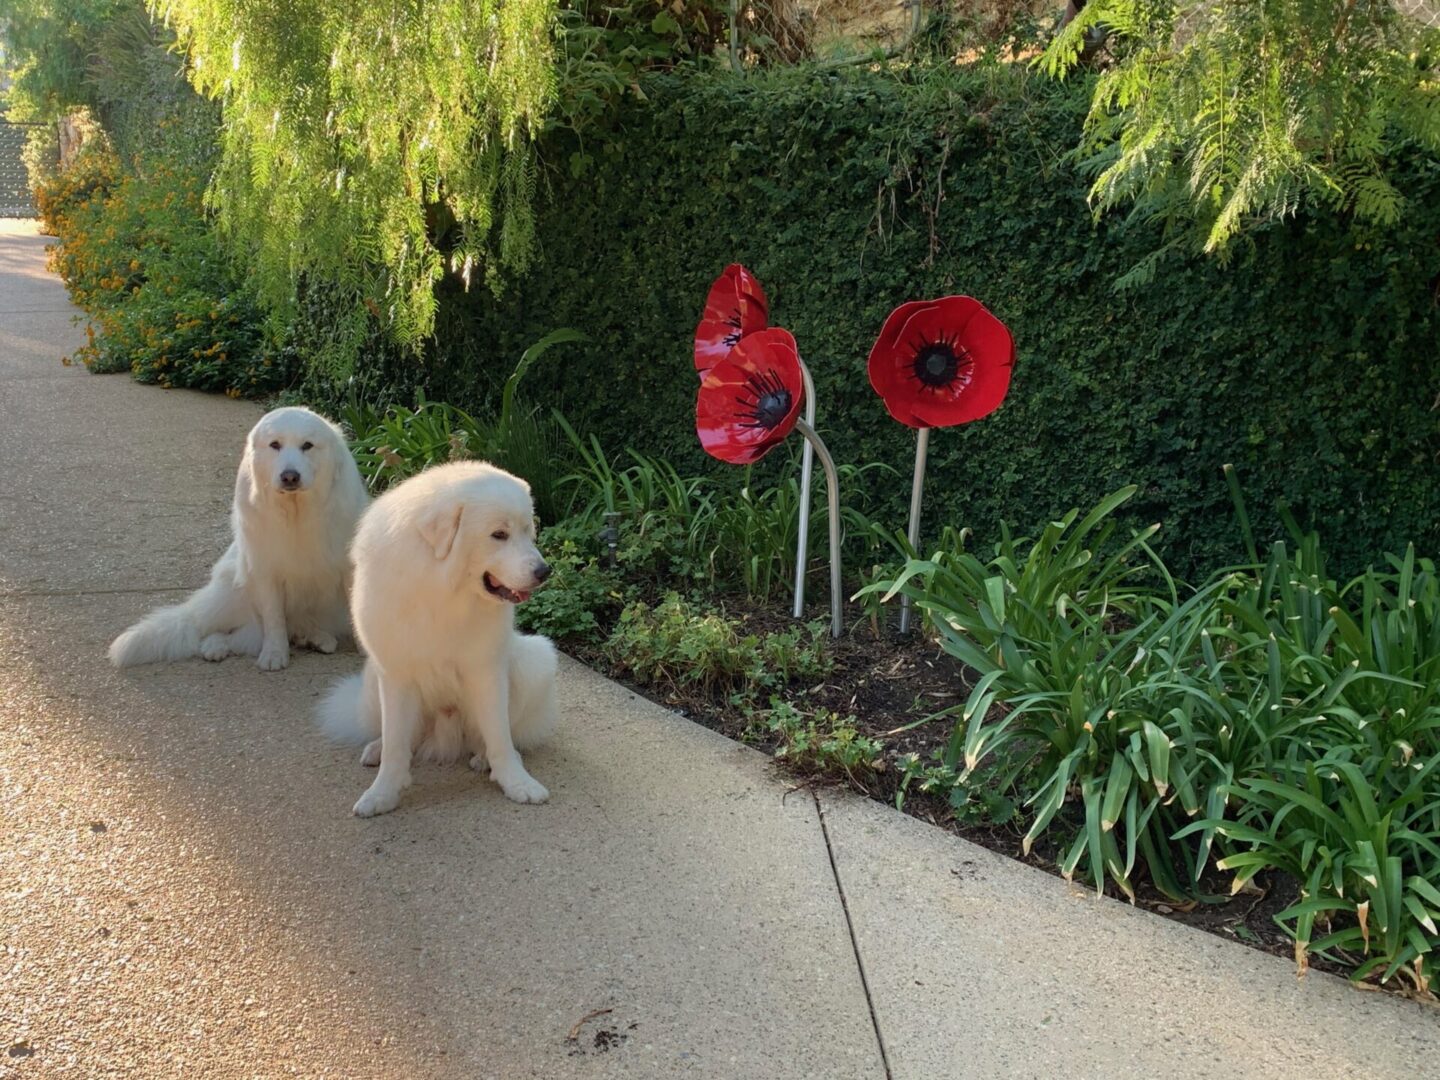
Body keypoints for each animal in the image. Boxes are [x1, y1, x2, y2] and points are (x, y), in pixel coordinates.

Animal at [110, 408, 371, 673]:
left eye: (307, 446)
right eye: (275, 445)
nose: (290, 477)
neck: (295, 514)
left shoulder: (348, 569)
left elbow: (357, 613)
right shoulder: (266, 572)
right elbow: (274, 619)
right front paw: (274, 654)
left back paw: (316, 639)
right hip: (231, 596)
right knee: (201, 628)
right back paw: (213, 648)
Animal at [318, 457, 558, 817]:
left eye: (528, 532)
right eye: (499, 535)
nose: (544, 572)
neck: (442, 589)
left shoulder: (486, 671)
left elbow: (499, 736)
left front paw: (517, 783)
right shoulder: (395, 675)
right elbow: (396, 743)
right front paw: (382, 794)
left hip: (534, 661)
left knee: (494, 736)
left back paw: (484, 759)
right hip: (372, 680)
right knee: (405, 736)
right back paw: (376, 749)